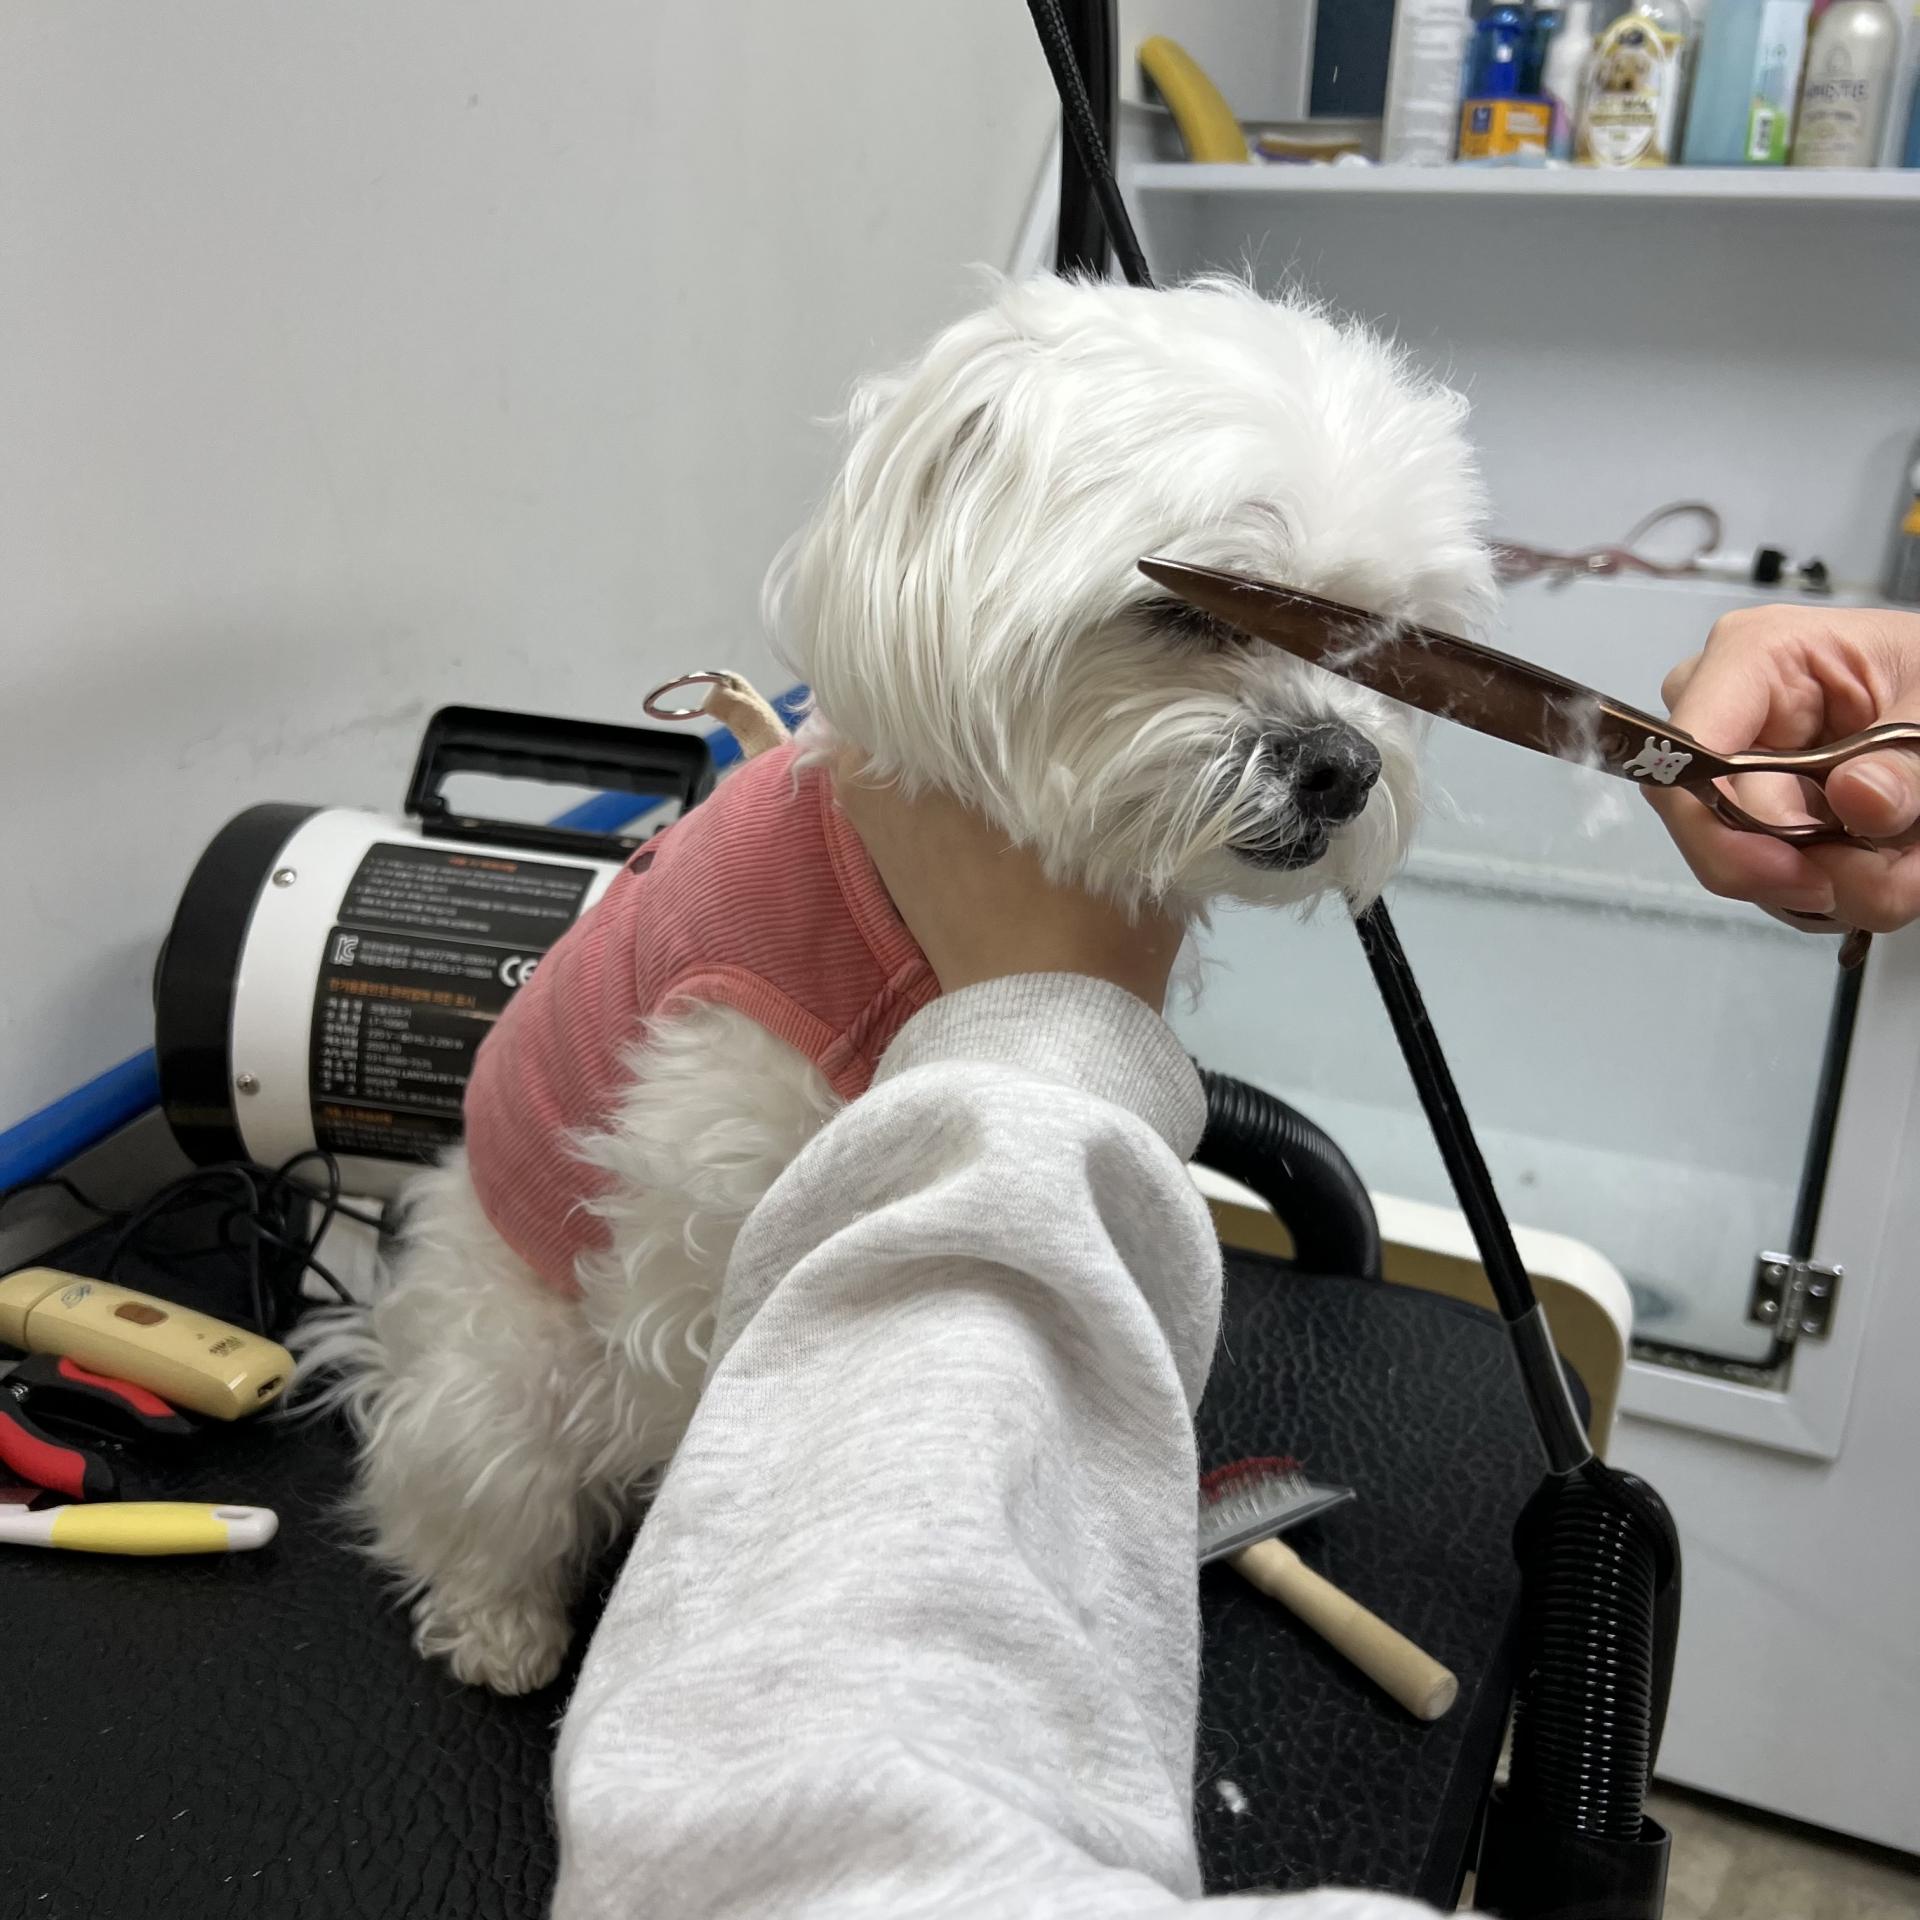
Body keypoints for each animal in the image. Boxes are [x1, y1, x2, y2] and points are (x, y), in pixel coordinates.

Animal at [297, 273, 1493, 1695]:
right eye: (1190, 609)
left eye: (1385, 656)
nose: (1342, 766)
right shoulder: (713, 1185)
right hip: (508, 1370)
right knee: (469, 1488)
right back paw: (500, 1622)